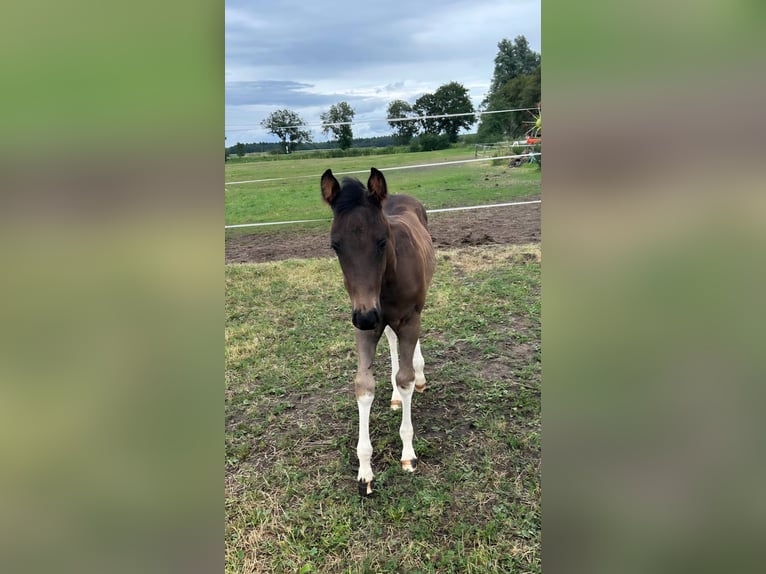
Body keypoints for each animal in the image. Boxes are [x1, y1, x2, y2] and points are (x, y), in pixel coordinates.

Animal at [321, 167, 435, 496]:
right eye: (336, 246)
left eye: (382, 241)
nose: (365, 315)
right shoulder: (363, 327)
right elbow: (364, 385)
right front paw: (365, 472)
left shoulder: (409, 319)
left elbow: (406, 377)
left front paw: (408, 454)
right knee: (392, 340)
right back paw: (396, 397)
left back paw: (419, 377)